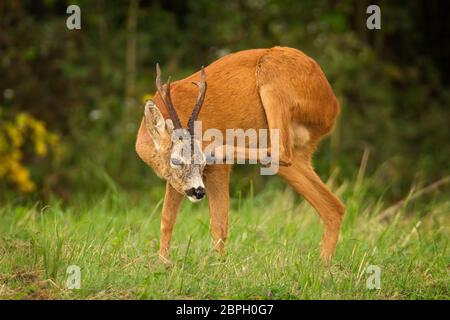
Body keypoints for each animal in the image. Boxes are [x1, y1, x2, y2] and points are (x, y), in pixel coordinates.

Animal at [135, 47, 346, 262]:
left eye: (201, 162)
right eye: (176, 160)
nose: (199, 191)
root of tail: (333, 106)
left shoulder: (216, 170)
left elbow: (219, 224)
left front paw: (217, 264)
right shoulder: (175, 181)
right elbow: (167, 220)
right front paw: (163, 262)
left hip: (272, 80)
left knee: (281, 150)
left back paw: (219, 149)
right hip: (296, 155)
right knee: (334, 207)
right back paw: (324, 264)